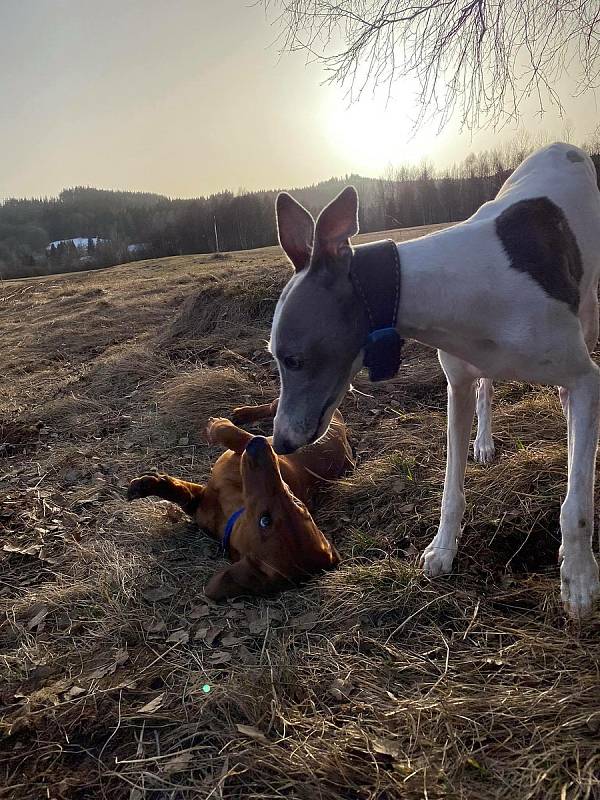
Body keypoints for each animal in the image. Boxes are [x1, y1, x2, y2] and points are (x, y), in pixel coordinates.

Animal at [126, 400, 352, 600]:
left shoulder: (249, 449)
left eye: (265, 521)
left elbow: (230, 434)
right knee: (273, 406)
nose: (260, 444)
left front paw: (217, 424)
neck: (233, 510)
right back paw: (243, 414)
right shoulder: (201, 500)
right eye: (300, 506)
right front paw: (146, 485)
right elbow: (180, 491)